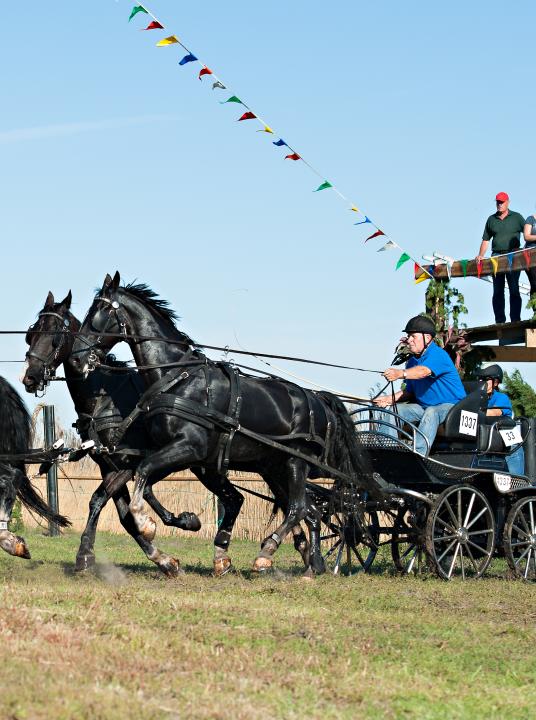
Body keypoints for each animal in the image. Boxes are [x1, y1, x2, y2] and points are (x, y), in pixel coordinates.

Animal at [23, 290, 203, 576]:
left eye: (55, 336)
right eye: (31, 334)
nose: (30, 377)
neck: (104, 399)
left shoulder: (127, 464)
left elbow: (98, 500)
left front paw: (85, 554)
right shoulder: (108, 465)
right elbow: (125, 516)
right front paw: (163, 559)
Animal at [72, 272, 376, 576]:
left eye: (97, 313)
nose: (77, 358)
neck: (177, 379)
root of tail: (318, 400)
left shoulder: (188, 448)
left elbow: (144, 473)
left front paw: (148, 525)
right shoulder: (172, 454)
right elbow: (142, 482)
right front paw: (183, 522)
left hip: (295, 463)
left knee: (299, 508)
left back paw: (268, 552)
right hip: (275, 467)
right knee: (309, 511)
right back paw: (311, 567)